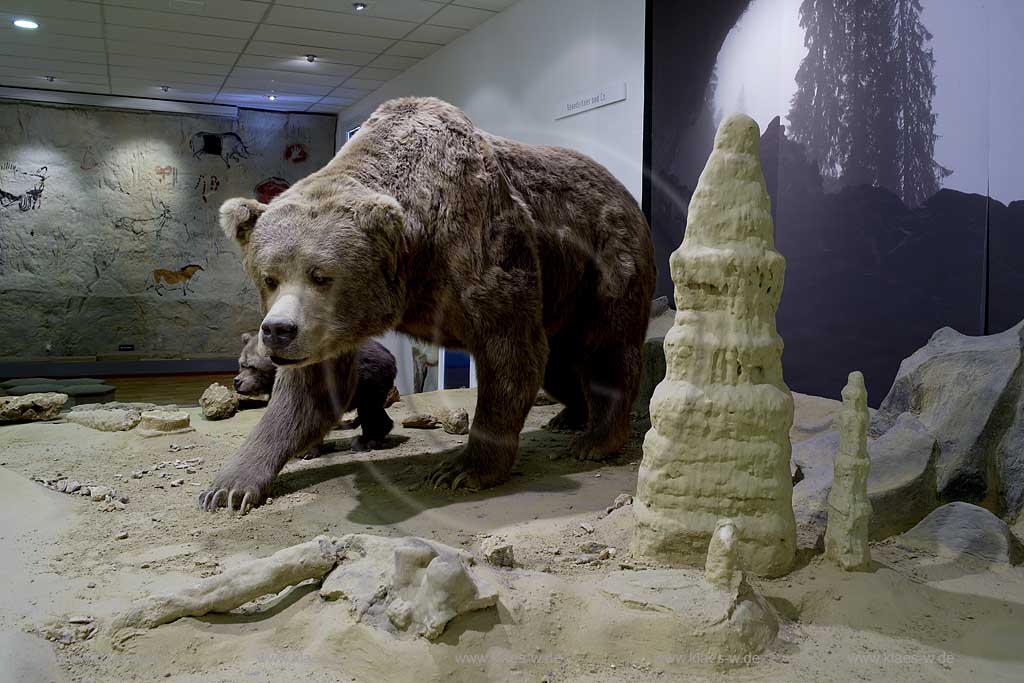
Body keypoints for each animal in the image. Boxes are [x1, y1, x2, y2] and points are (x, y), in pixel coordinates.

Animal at [235, 333, 399, 456]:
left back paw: (367, 441)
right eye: (241, 364)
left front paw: (308, 451)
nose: (237, 382)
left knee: (370, 411)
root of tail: (390, 355)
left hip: (369, 380)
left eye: (251, 366)